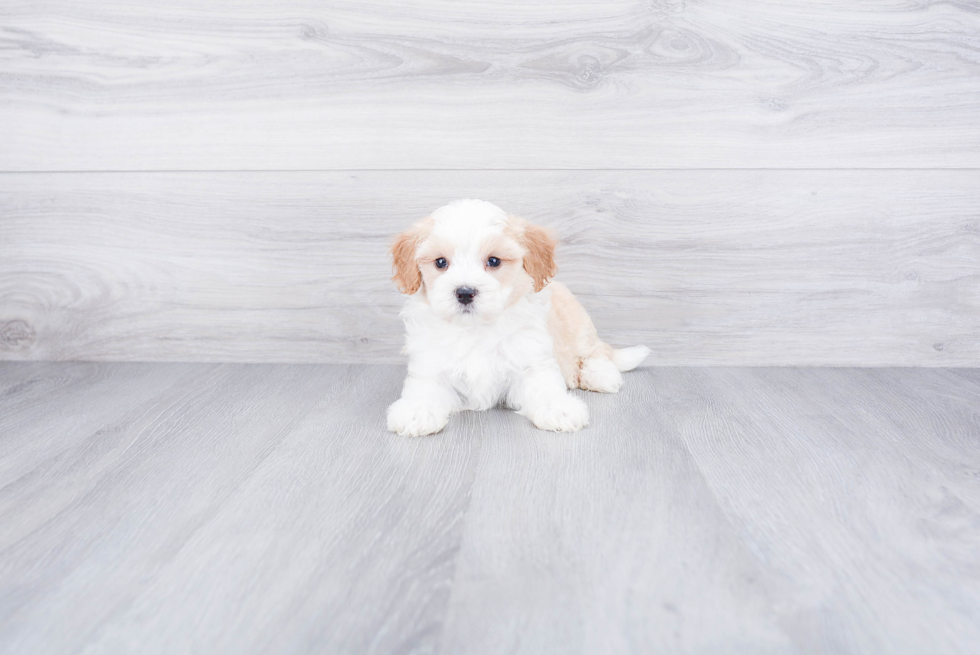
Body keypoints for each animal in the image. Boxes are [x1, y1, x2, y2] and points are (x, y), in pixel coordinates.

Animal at [384, 200, 652, 436]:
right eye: (440, 262)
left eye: (493, 261)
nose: (465, 292)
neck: (476, 328)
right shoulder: (430, 364)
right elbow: (425, 388)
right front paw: (417, 412)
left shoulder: (532, 359)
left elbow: (544, 386)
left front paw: (559, 409)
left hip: (579, 326)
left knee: (597, 351)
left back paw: (600, 375)